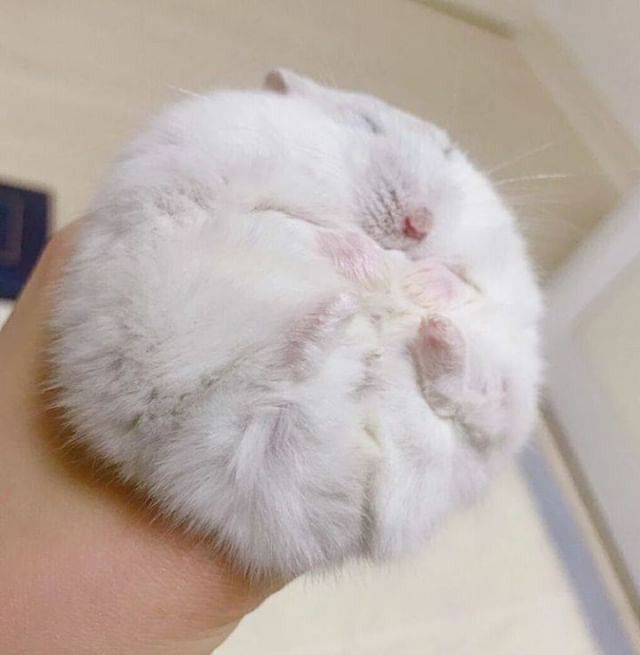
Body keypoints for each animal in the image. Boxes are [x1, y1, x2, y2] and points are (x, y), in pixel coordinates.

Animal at [50, 71, 542, 578]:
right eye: (366, 125)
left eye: (448, 153)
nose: (418, 224)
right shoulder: (206, 185)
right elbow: (296, 223)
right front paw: (382, 272)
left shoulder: (506, 287)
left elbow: (469, 285)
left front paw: (414, 286)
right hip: (161, 354)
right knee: (253, 370)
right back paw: (341, 317)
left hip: (501, 405)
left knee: (475, 403)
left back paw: (423, 337)